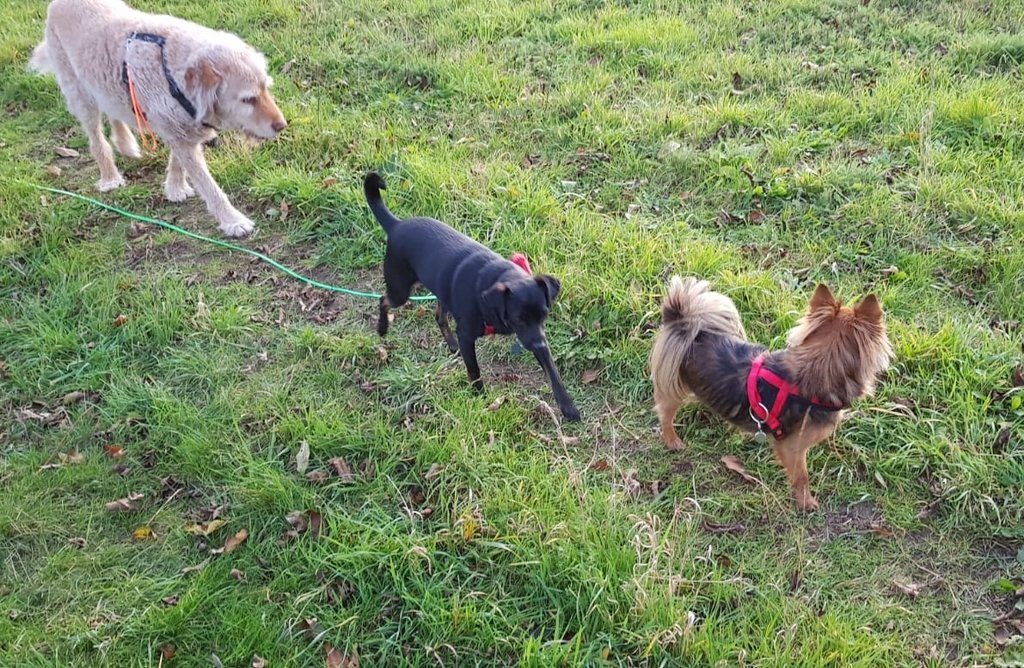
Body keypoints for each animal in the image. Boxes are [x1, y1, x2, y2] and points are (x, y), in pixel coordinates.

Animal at [29, 0, 286, 237]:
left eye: (266, 88)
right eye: (248, 99)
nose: (282, 126)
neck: (173, 73)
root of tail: (56, 3)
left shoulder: (180, 127)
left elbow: (177, 160)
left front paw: (175, 187)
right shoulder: (178, 130)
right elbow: (208, 185)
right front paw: (233, 221)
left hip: (107, 86)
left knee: (113, 111)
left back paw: (126, 144)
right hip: (79, 94)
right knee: (96, 139)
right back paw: (110, 177)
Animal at [364, 172, 581, 422]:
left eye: (544, 315)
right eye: (518, 319)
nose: (538, 343)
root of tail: (397, 225)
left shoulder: (536, 337)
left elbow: (554, 374)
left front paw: (568, 407)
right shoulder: (470, 336)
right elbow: (474, 370)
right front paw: (479, 396)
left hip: (439, 289)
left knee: (439, 315)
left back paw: (451, 344)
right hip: (400, 290)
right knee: (384, 300)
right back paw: (382, 328)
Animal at [649, 277, 892, 510]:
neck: (819, 368)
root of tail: (685, 322)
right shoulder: (792, 447)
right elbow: (801, 477)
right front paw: (806, 503)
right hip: (673, 387)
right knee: (665, 413)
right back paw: (673, 440)